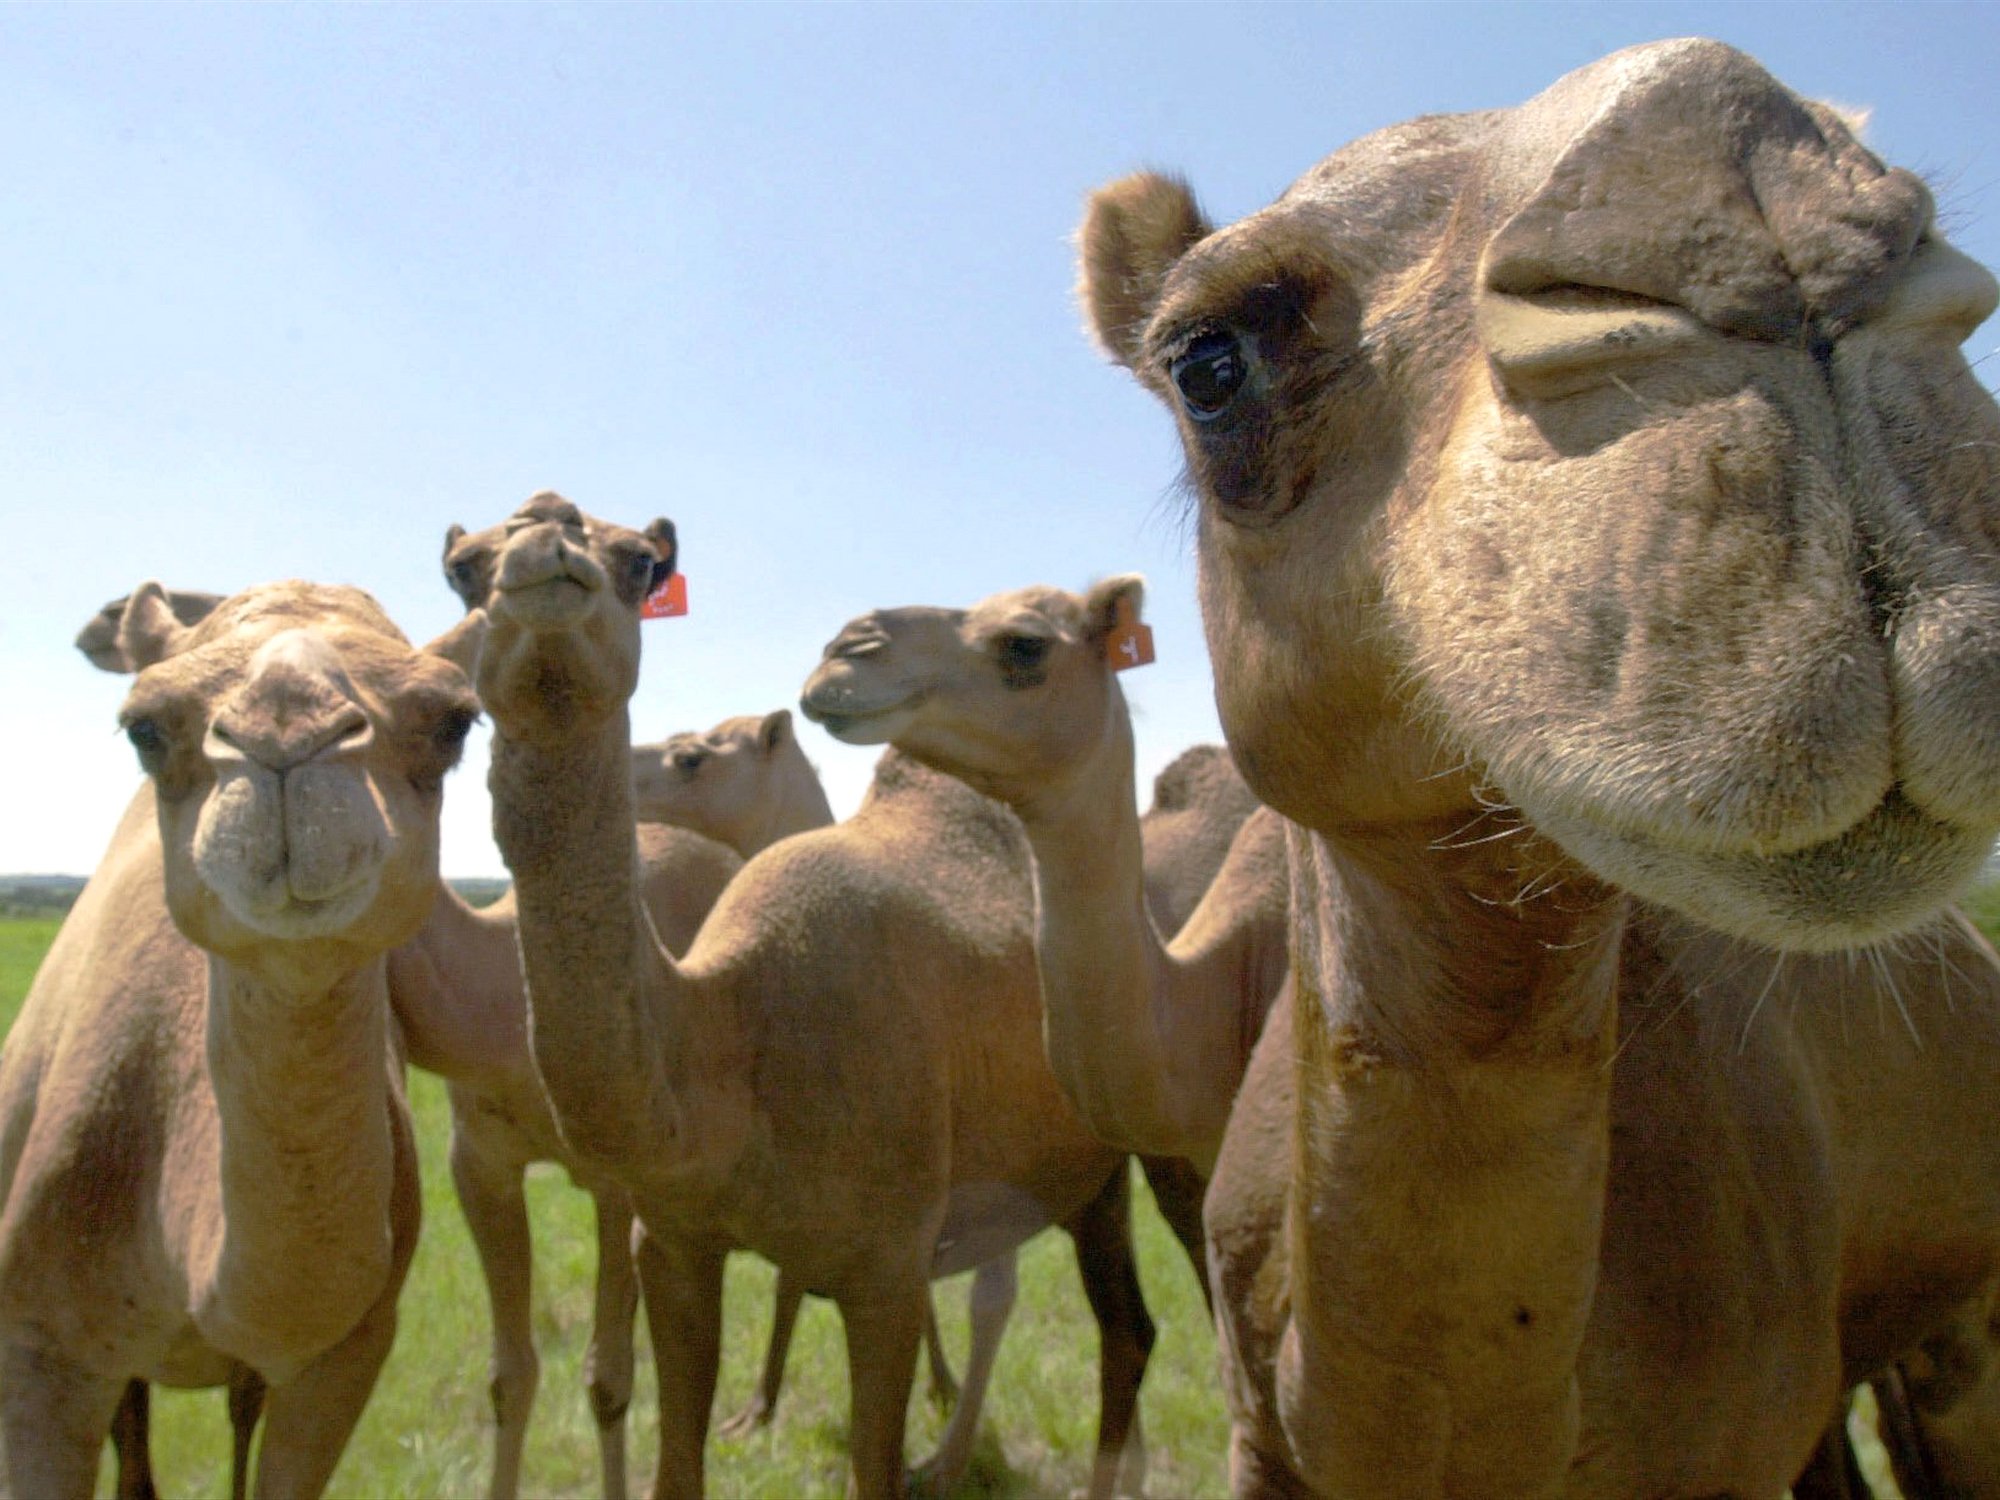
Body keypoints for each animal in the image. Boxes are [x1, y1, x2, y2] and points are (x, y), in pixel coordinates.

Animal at [446, 494, 1152, 1500]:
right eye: (461, 569)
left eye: (641, 565)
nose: (547, 553)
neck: (733, 1031)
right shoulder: (673, 1241)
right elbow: (677, 1467)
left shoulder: (887, 1267)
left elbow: (873, 1465)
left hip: (1119, 1155)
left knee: (1123, 1329)